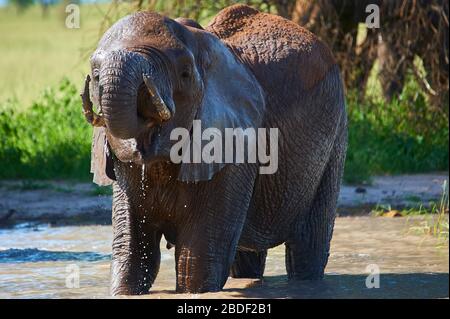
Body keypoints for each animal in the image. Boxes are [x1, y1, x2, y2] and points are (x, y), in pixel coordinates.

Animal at [81, 3, 348, 296]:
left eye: (184, 74)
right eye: (95, 76)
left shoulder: (235, 143)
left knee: (307, 246)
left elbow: (198, 261)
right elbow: (132, 254)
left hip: (335, 133)